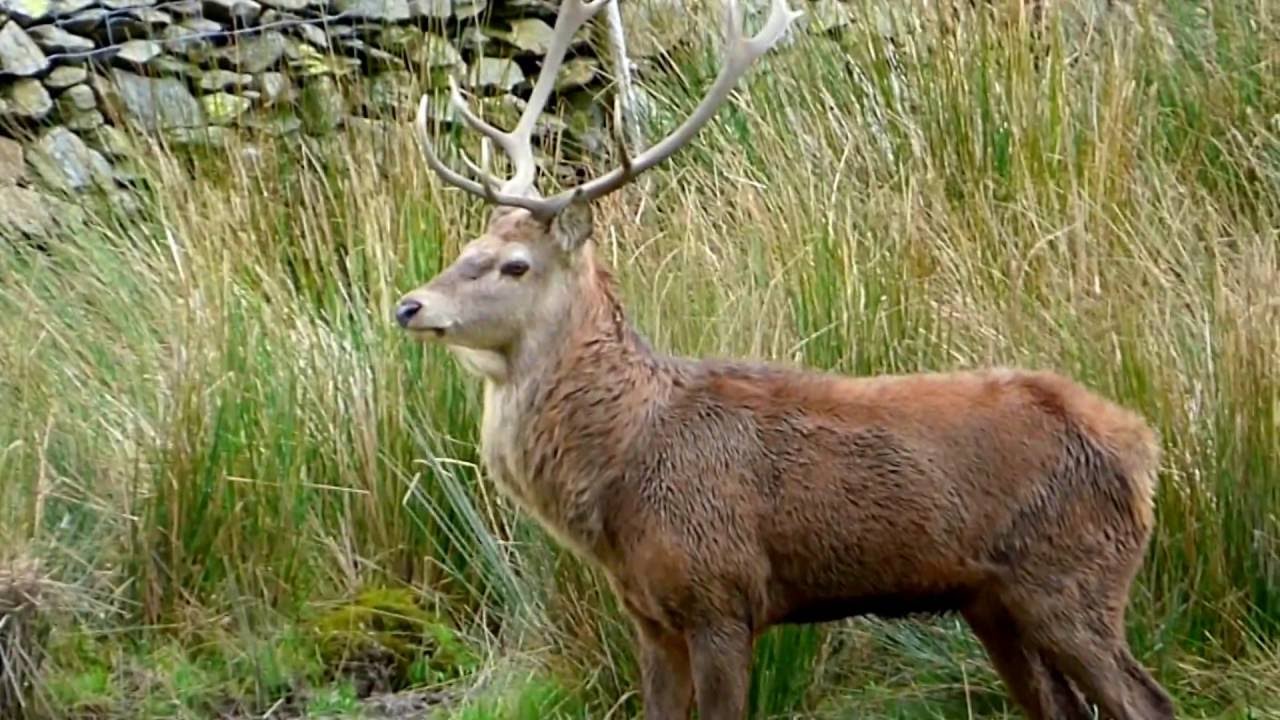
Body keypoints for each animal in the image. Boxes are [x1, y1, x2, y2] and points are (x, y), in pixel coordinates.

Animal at [393, 1, 1176, 718]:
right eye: (467, 245)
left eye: (515, 265)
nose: (409, 305)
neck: (624, 466)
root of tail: (1143, 447)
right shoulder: (648, 614)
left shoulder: (721, 592)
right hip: (995, 599)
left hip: (1072, 578)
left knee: (1146, 702)